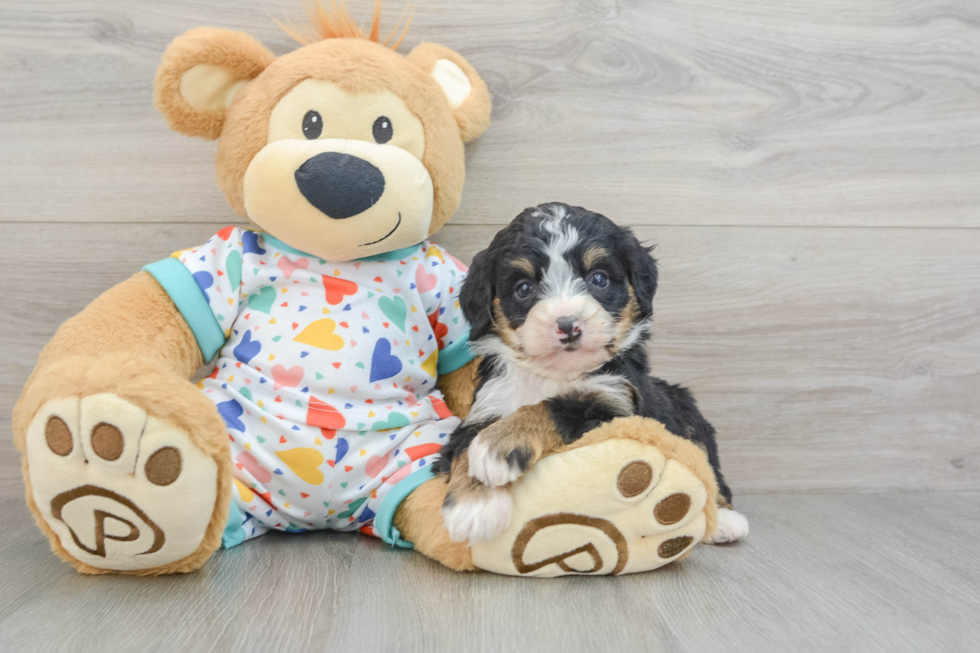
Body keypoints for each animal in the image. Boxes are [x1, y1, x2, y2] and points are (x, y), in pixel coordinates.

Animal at [432, 204, 748, 544]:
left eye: (598, 278)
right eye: (524, 288)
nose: (568, 325)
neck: (553, 375)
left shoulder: (615, 409)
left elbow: (553, 408)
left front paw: (497, 446)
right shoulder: (485, 408)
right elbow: (464, 447)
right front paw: (474, 507)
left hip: (689, 417)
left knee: (709, 468)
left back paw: (726, 520)